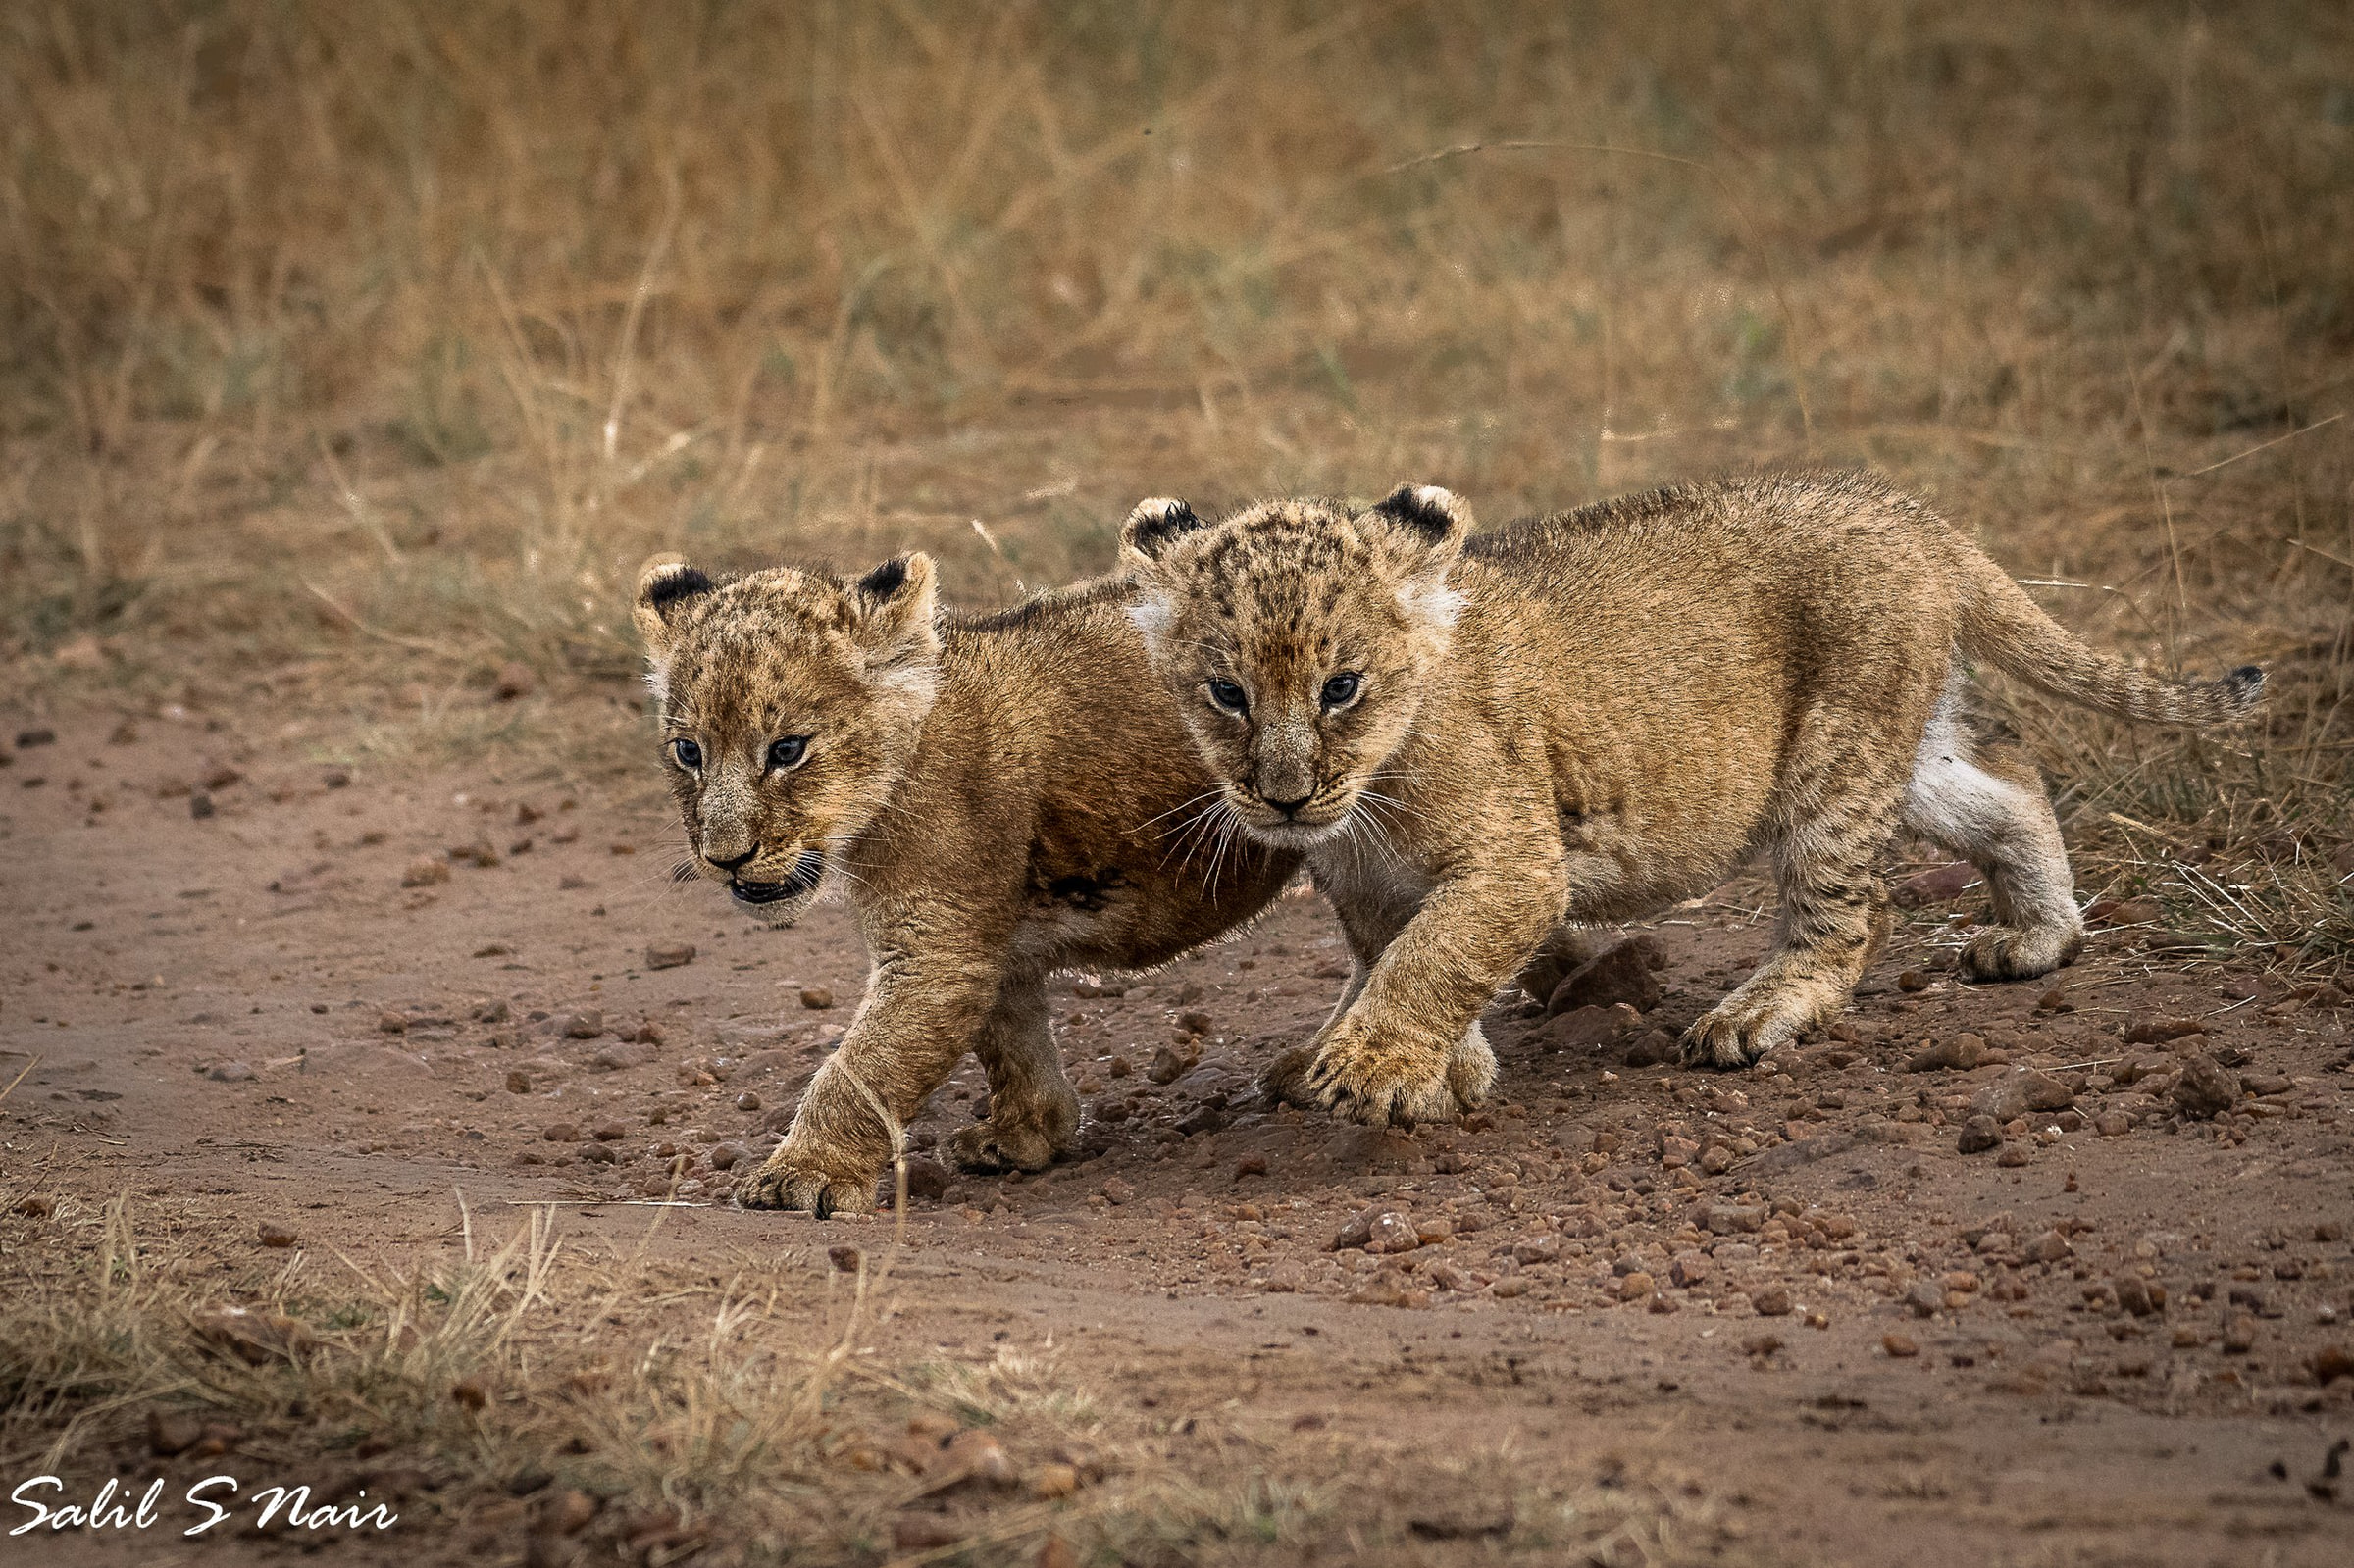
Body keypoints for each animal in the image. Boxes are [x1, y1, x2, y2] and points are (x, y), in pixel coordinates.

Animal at [633, 551, 1298, 1215]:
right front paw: (1028, 1132)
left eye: (787, 750)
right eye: (688, 752)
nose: (725, 858)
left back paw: (1321, 1071)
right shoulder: (985, 933)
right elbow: (1010, 1035)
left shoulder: (937, 950)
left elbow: (861, 1068)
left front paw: (803, 1173)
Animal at [1117, 473, 2264, 1123]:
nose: (1282, 800)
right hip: (1901, 746)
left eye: (1341, 687)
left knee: (1855, 912)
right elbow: (1390, 958)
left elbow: (1437, 956)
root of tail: (1909, 514)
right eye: (1226, 693)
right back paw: (2037, 936)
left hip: (1834, 752)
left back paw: (1755, 1015)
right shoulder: (1361, 886)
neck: (1366, 797)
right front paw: (1405, 1062)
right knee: (2007, 791)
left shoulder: (1517, 859)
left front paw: (1377, 1066)